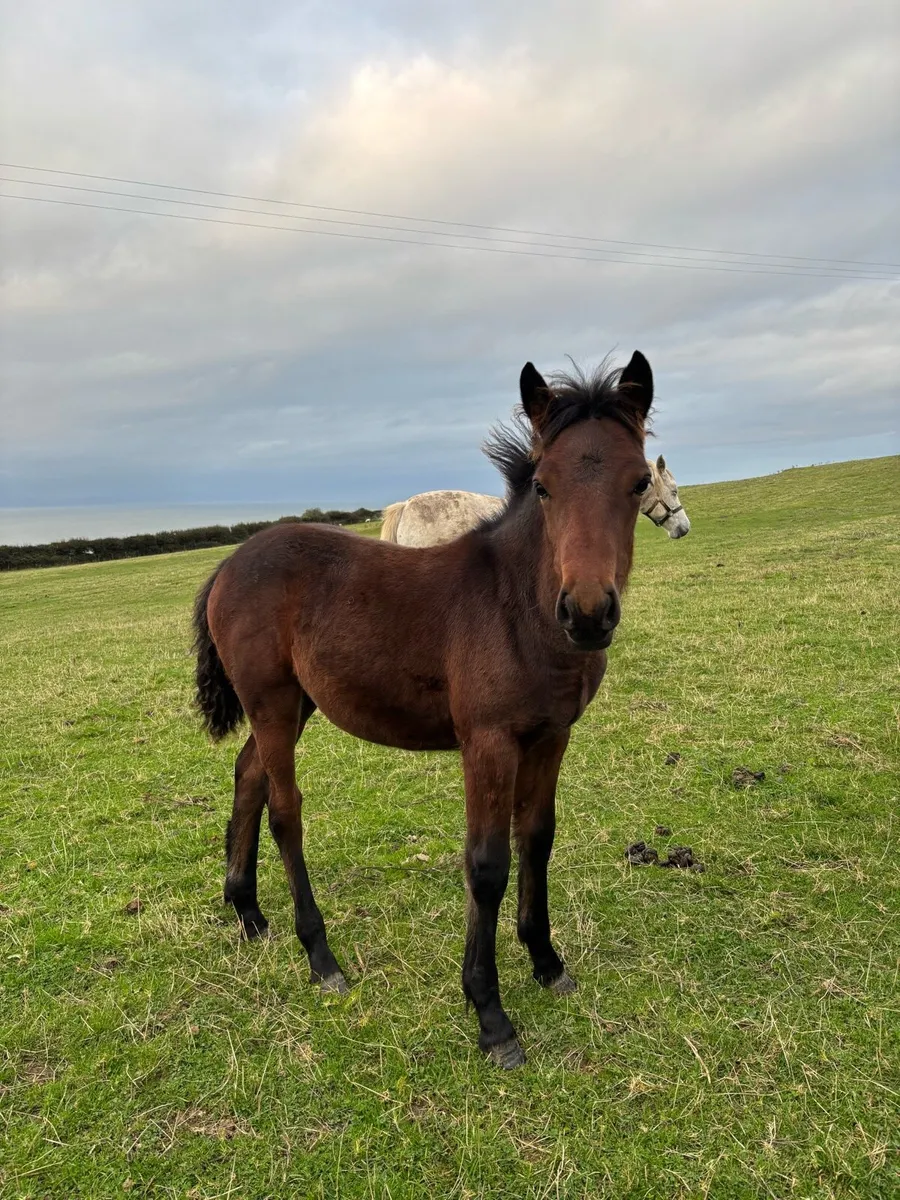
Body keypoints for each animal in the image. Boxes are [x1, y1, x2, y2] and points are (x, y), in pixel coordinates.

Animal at [192, 351, 655, 1068]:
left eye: (638, 483)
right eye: (543, 487)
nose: (586, 613)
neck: (517, 609)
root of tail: (229, 564)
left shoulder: (551, 736)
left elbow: (537, 838)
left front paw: (547, 962)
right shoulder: (488, 741)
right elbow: (487, 864)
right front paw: (490, 1015)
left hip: (297, 704)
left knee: (247, 775)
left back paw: (248, 913)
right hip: (271, 702)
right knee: (284, 809)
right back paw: (321, 957)